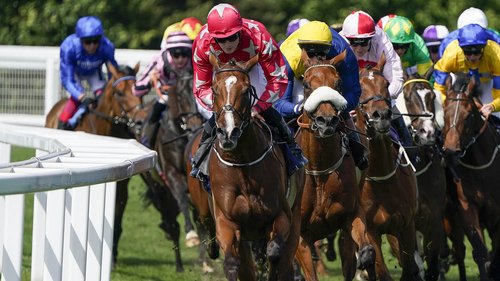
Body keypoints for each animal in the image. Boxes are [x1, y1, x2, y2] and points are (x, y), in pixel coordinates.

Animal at [205, 53, 302, 278]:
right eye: (214, 89)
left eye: (246, 90)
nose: (228, 132)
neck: (242, 164)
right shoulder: (226, 222)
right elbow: (232, 264)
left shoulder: (281, 216)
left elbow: (274, 254)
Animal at [292, 49, 376, 280]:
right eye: (306, 84)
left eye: (337, 83)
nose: (326, 121)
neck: (319, 169)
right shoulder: (301, 237)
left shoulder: (351, 215)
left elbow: (366, 252)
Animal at [356, 60, 422, 278]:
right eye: (359, 88)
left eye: (385, 84)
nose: (382, 115)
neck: (381, 175)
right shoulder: (371, 231)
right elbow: (381, 271)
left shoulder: (406, 224)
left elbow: (410, 269)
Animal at [396, 73, 448, 278]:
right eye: (407, 97)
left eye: (432, 97)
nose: (428, 133)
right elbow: (413, 266)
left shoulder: (434, 220)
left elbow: (432, 266)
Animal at [442, 72, 500, 280]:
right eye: (444, 112)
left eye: (468, 116)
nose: (451, 152)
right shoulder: (467, 207)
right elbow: (482, 255)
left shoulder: (497, 217)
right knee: (459, 251)